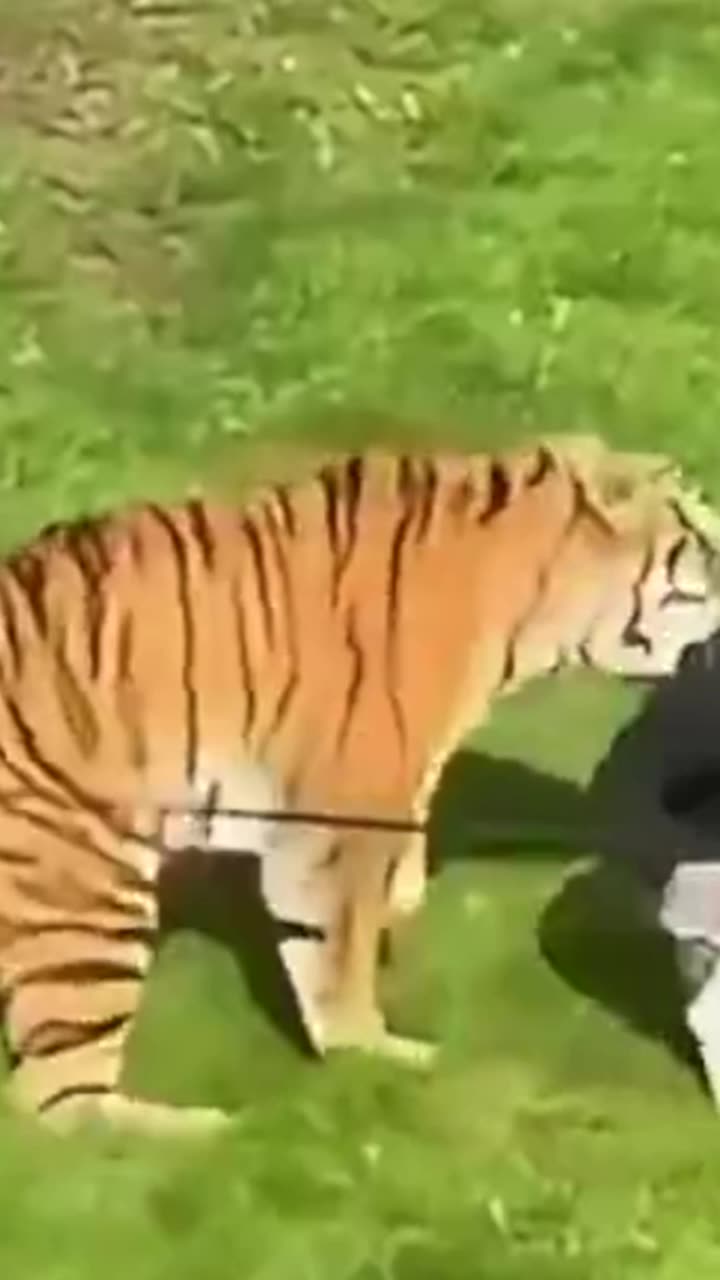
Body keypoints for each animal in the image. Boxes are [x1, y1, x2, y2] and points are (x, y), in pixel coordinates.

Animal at [0, 432, 718, 1138]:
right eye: (706, 549)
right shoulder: (344, 811)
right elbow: (336, 946)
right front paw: (372, 1051)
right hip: (83, 887)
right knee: (57, 1102)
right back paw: (213, 1130)